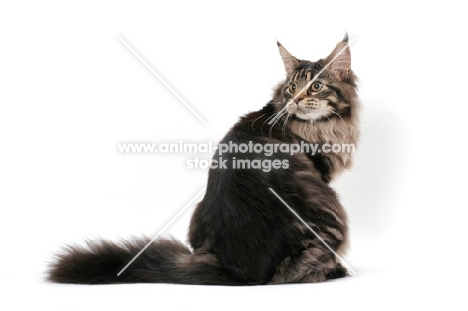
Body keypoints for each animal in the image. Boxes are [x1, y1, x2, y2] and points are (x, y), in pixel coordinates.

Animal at [47, 34, 360, 286]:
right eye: (293, 86)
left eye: (316, 86)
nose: (295, 99)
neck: (317, 126)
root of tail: (239, 270)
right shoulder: (321, 173)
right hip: (330, 211)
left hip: (197, 215)